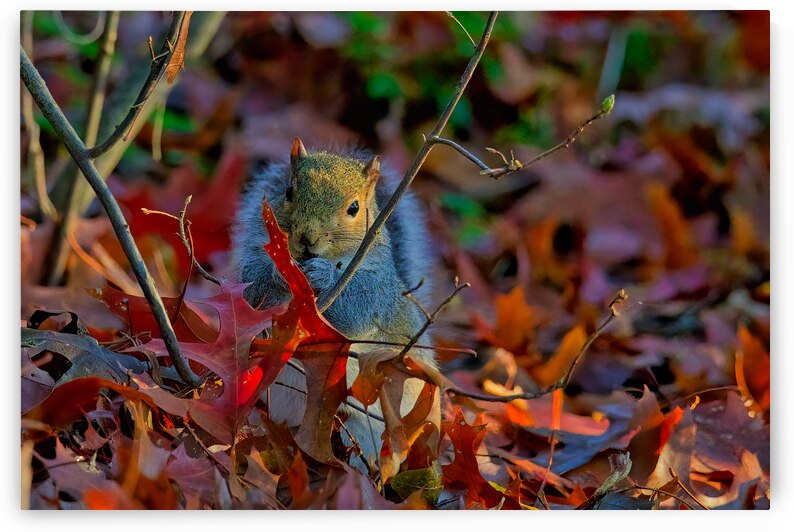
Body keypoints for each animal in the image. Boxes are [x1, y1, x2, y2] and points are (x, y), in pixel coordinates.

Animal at [231, 138, 437, 468]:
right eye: (288, 192)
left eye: (354, 208)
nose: (307, 238)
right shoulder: (253, 265)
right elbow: (255, 290)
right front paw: (280, 271)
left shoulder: (377, 290)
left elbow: (354, 311)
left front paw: (324, 275)